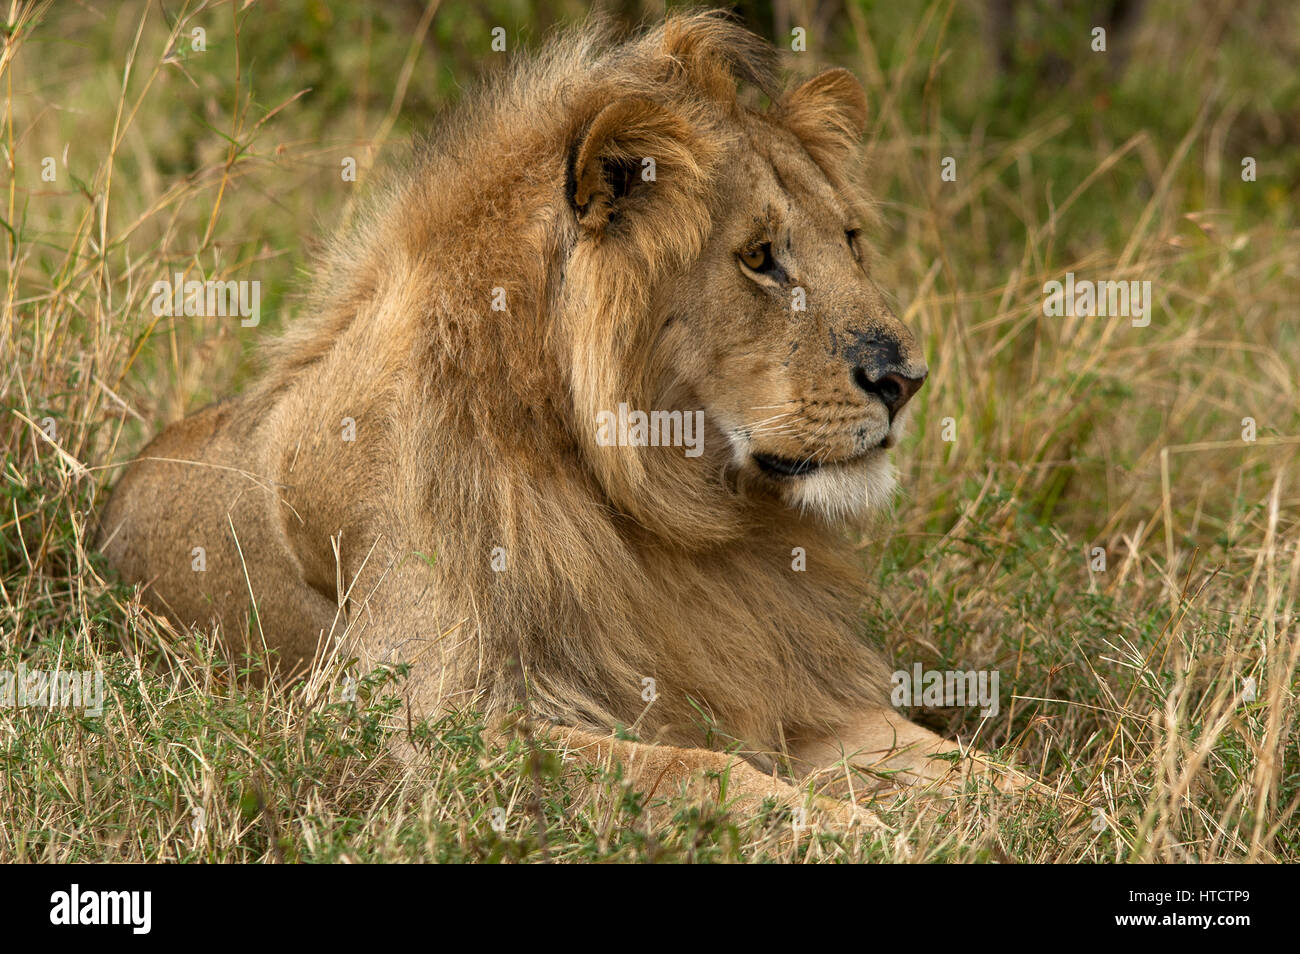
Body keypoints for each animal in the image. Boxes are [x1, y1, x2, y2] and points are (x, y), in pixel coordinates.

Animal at [98, 11, 1023, 826]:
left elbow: (973, 770)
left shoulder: (792, 687)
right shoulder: (424, 727)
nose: (907, 379)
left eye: (852, 240)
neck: (665, 516)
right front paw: (858, 834)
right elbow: (695, 772)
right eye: (760, 258)